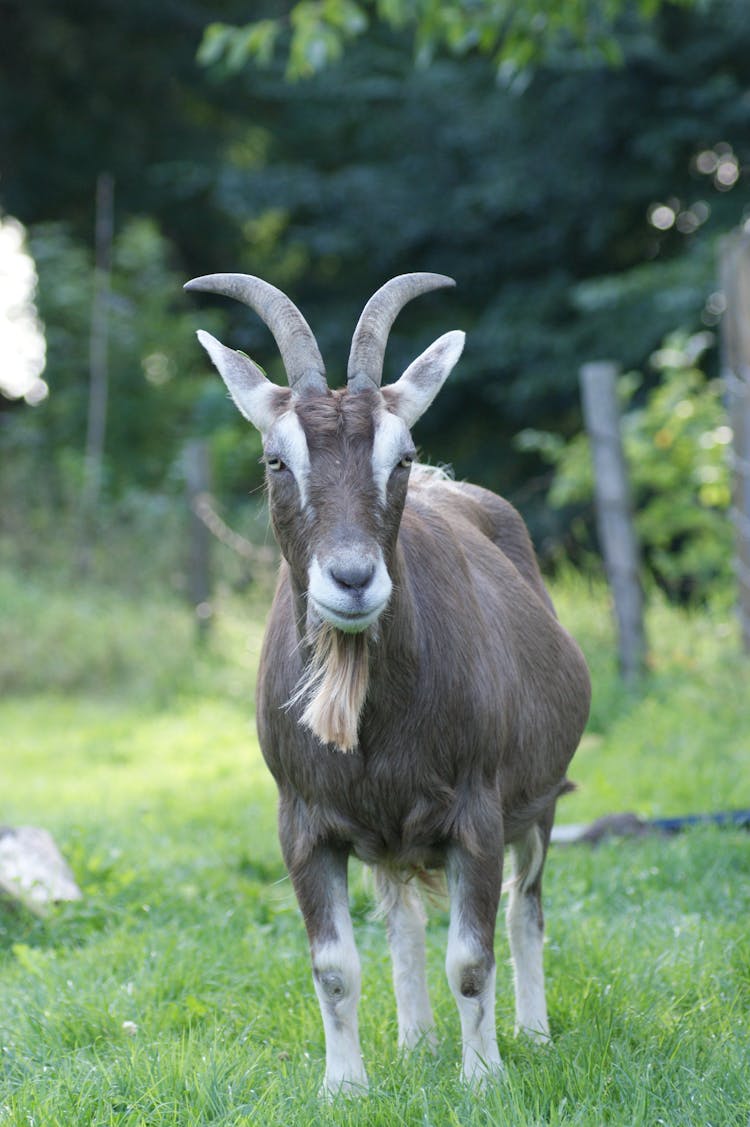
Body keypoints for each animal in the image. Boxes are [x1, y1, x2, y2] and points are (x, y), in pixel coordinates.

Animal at [183, 270, 586, 1090]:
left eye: (399, 456)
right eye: (276, 460)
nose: (352, 578)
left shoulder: (476, 811)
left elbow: (471, 958)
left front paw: (483, 1078)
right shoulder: (304, 822)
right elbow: (335, 965)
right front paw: (345, 1085)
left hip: (539, 801)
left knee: (525, 906)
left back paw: (530, 1033)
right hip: (393, 838)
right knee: (403, 919)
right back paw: (416, 1042)